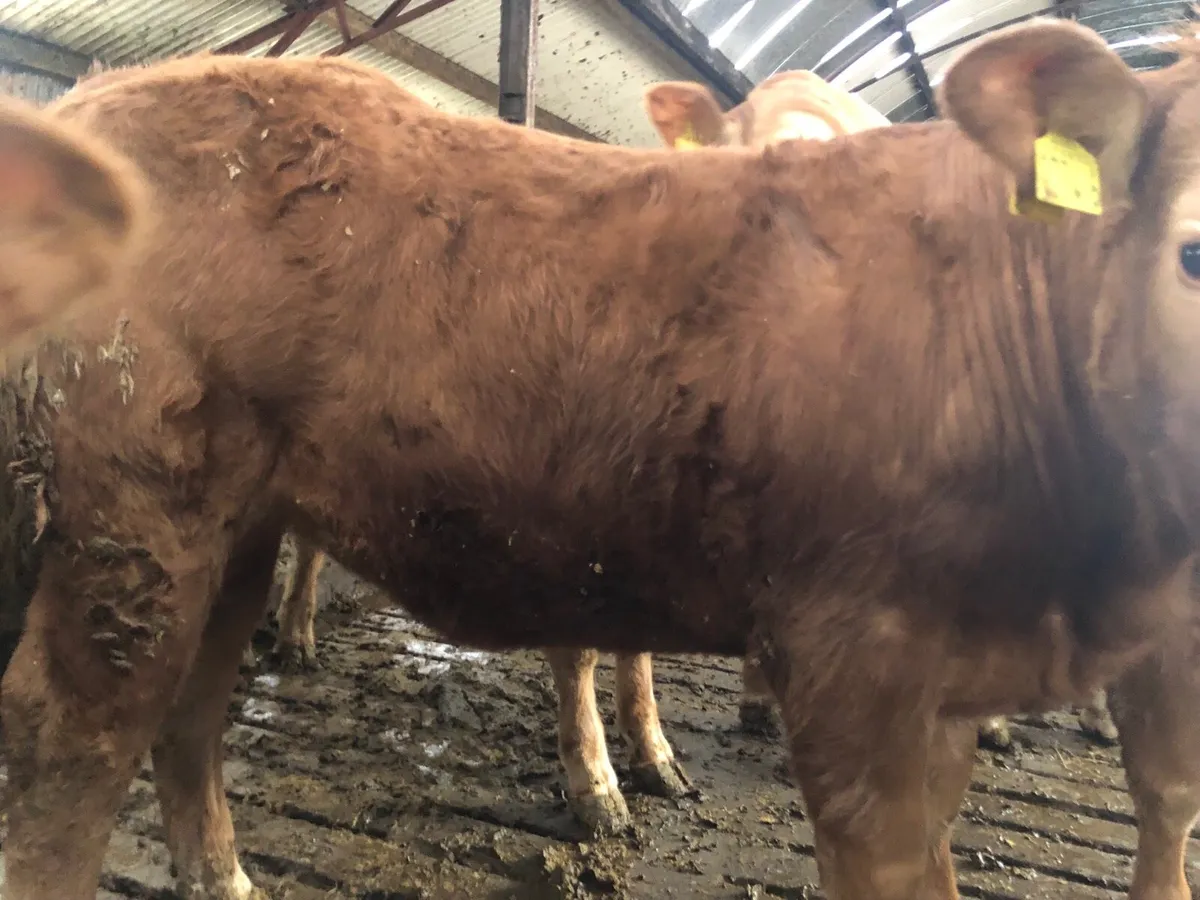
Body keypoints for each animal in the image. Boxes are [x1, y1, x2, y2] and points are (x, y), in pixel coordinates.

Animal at [4, 18, 1200, 900]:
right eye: (1188, 250)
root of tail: (104, 93)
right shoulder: (862, 674)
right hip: (132, 524)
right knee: (69, 746)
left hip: (232, 526)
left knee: (193, 708)